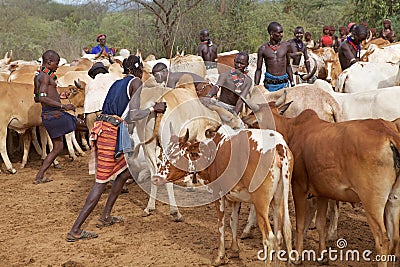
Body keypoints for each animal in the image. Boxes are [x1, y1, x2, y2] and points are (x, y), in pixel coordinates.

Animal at [256, 100, 400, 266]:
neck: (294, 130)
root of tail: (390, 135)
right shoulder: (322, 192)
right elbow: (320, 223)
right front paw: (322, 255)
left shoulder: (299, 187)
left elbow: (300, 224)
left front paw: (297, 256)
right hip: (393, 201)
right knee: (395, 240)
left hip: (372, 203)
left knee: (383, 241)